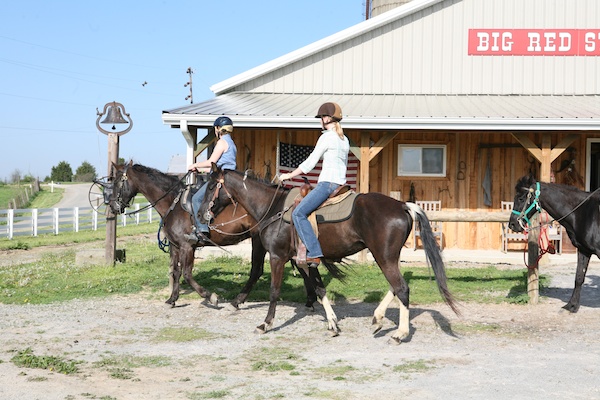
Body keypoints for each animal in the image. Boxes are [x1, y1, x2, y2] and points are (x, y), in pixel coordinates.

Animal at [108, 162, 324, 310]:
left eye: (118, 182)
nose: (113, 206)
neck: (173, 203)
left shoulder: (187, 246)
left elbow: (187, 274)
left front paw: (210, 297)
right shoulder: (176, 246)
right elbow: (176, 272)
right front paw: (172, 298)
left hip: (259, 241)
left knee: (260, 270)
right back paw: (309, 299)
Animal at [199, 163, 458, 344]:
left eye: (211, 187)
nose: (201, 214)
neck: (273, 209)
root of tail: (403, 205)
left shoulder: (277, 257)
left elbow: (274, 291)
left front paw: (265, 324)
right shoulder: (304, 261)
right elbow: (320, 289)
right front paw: (333, 324)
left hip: (384, 257)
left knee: (402, 288)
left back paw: (399, 333)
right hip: (387, 258)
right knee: (396, 287)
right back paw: (377, 318)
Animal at [506, 175, 600, 312]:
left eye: (521, 198)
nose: (512, 224)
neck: (584, 213)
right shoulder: (584, 250)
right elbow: (579, 277)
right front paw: (572, 306)